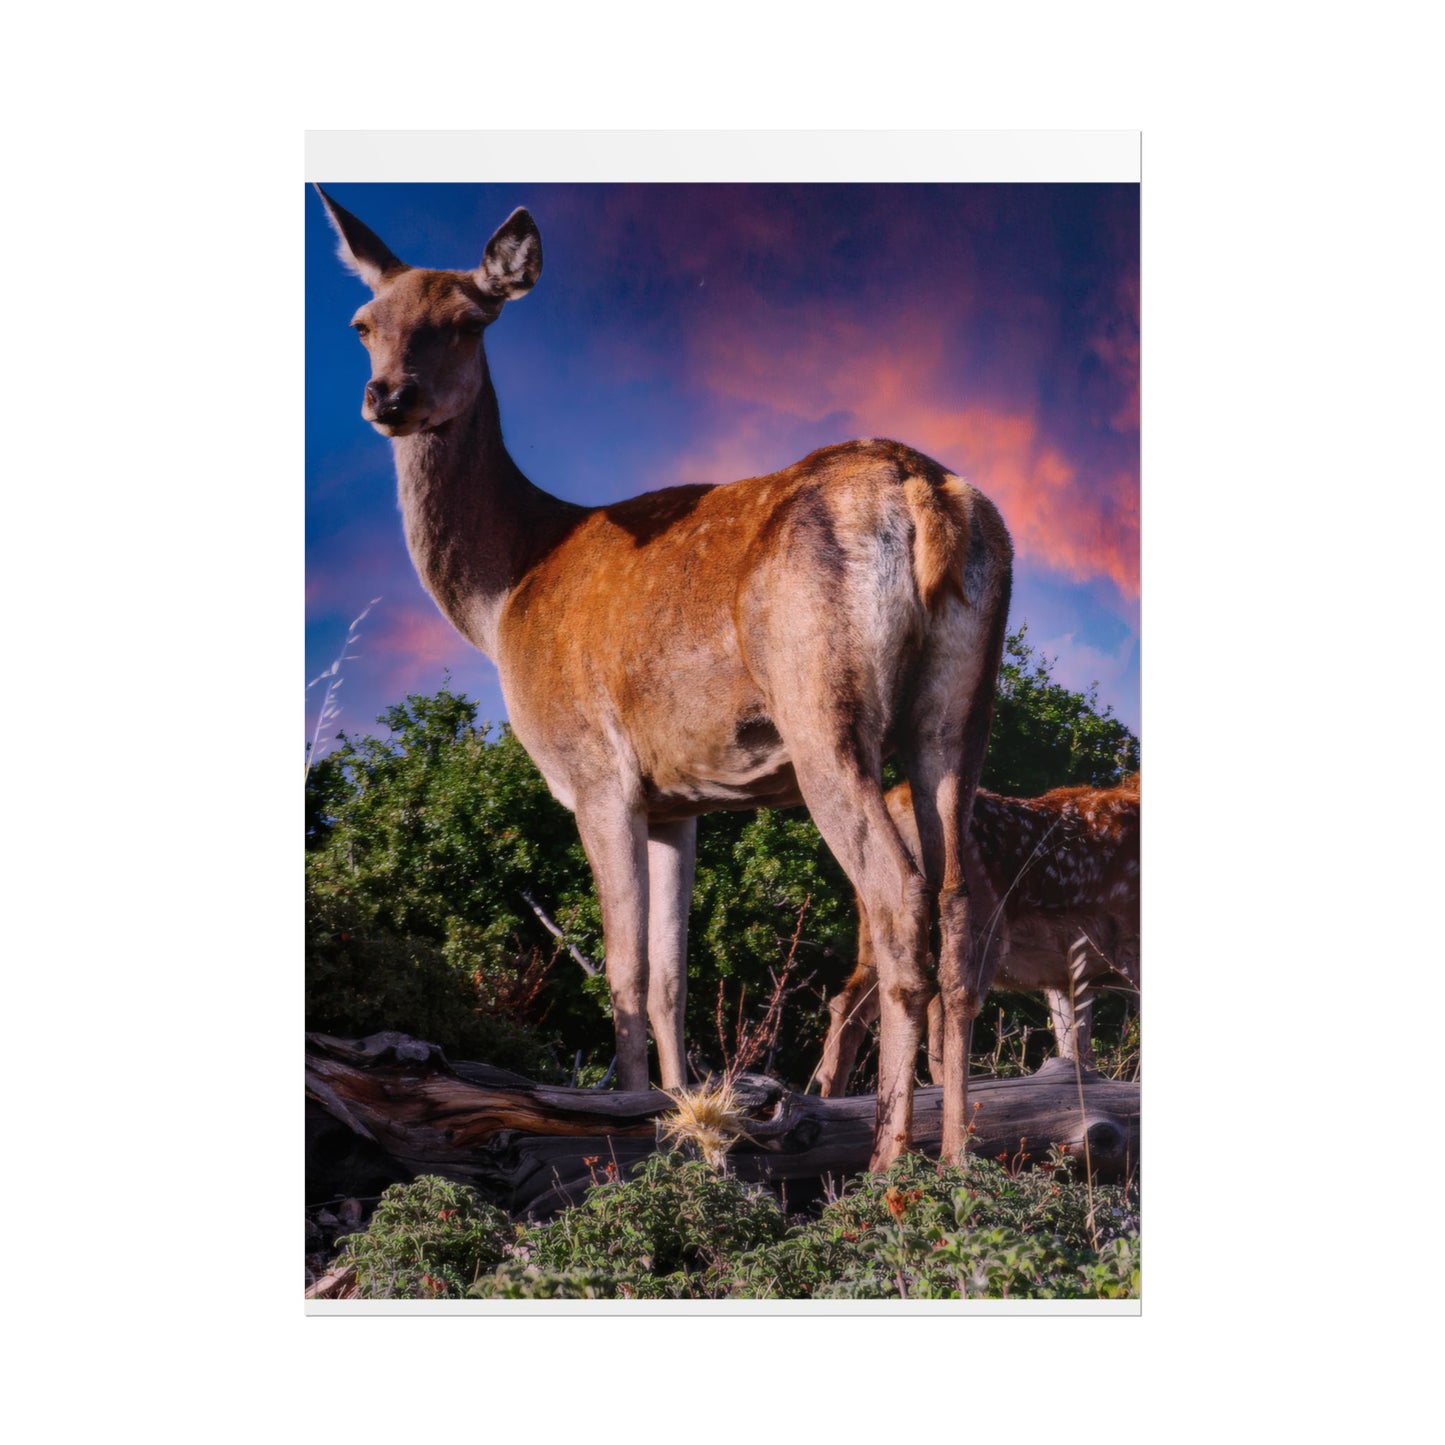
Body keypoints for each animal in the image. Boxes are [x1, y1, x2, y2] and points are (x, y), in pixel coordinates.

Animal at [315, 186, 1014, 1168]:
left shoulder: (593, 770)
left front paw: (626, 1127)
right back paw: (954, 1158)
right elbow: (671, 975)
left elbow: (622, 967)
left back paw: (885, 1164)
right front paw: (684, 1119)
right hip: (960, 709)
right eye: (364, 322)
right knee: (957, 906)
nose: (389, 396)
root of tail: (925, 494)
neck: (504, 592)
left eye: (465, 320)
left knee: (895, 895)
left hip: (822, 704)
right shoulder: (679, 798)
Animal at [814, 774, 1139, 1095]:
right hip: (977, 929)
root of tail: (900, 801)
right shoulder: (1129, 950)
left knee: (849, 1002)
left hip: (878, 926)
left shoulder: (1068, 977)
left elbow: (1077, 1058)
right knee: (943, 1012)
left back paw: (831, 1094)